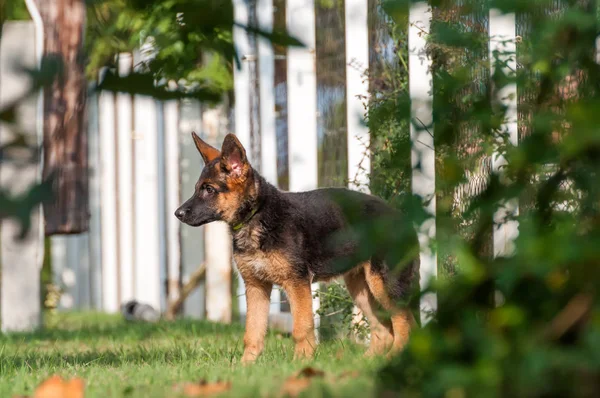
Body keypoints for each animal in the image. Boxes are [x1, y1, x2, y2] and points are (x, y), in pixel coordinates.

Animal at [175, 132, 418, 362]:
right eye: (197, 189)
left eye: (209, 189)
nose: (178, 213)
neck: (256, 215)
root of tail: (405, 218)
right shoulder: (256, 287)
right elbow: (252, 332)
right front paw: (245, 366)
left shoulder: (297, 283)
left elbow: (301, 327)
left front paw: (301, 362)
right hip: (362, 289)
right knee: (384, 330)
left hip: (384, 284)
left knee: (405, 322)